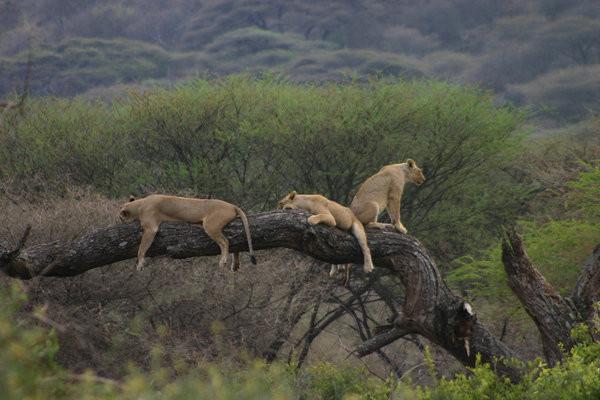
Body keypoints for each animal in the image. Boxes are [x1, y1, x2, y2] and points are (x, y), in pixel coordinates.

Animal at [118, 195, 256, 272]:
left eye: (120, 217)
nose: (119, 221)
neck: (139, 204)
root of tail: (232, 205)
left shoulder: (151, 228)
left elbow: (141, 249)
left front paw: (140, 264)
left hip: (210, 225)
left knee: (225, 241)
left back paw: (223, 262)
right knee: (235, 243)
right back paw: (235, 265)